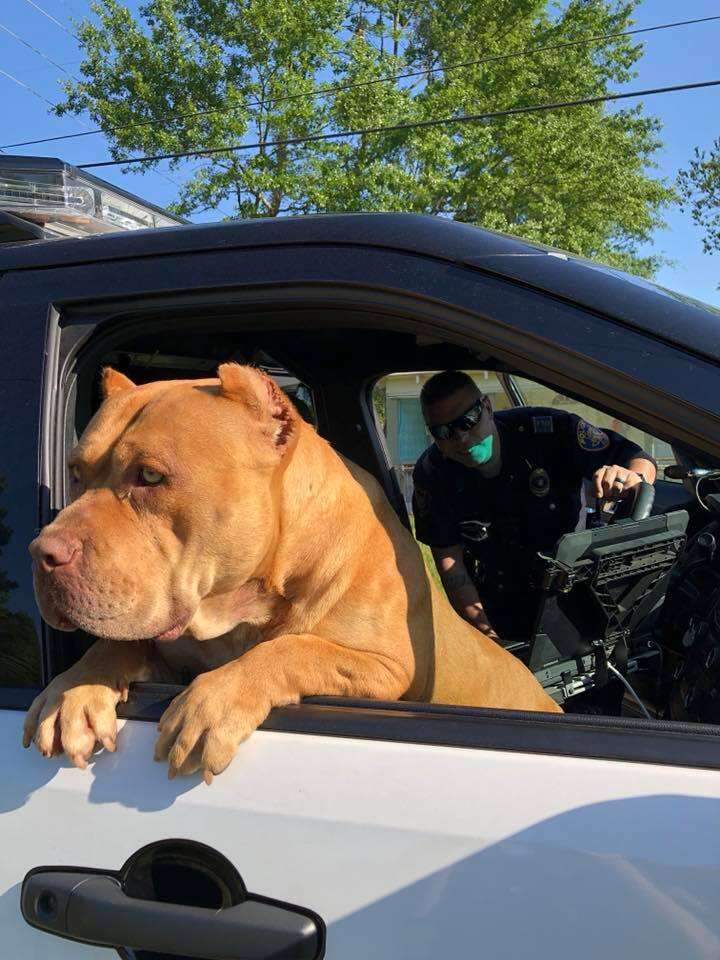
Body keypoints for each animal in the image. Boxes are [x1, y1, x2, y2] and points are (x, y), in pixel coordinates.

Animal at [23, 360, 564, 780]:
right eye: (76, 473)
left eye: (151, 476)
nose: (42, 552)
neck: (239, 605)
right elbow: (119, 642)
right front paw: (74, 688)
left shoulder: (385, 667)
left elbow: (295, 648)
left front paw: (212, 701)